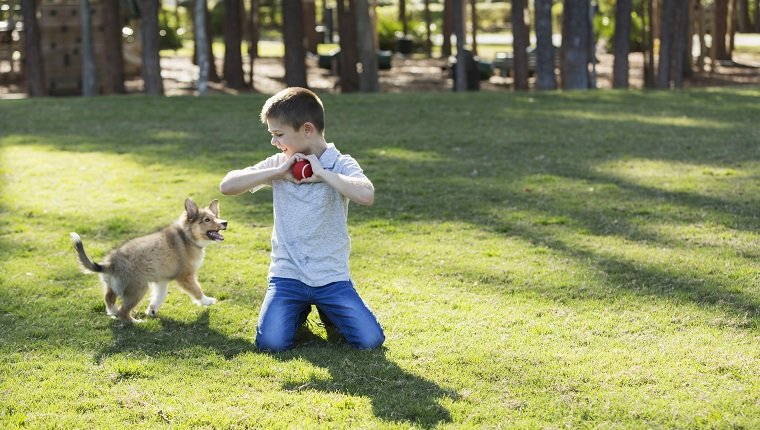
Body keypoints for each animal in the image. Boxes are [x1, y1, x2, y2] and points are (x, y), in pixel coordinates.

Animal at [70, 198, 227, 322]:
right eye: (207, 220)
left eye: (216, 216)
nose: (225, 222)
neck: (187, 237)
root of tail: (109, 264)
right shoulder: (185, 276)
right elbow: (197, 290)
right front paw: (207, 301)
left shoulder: (162, 280)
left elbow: (159, 296)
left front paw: (152, 310)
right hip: (138, 288)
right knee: (123, 311)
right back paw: (135, 321)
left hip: (115, 285)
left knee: (109, 298)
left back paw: (112, 311)